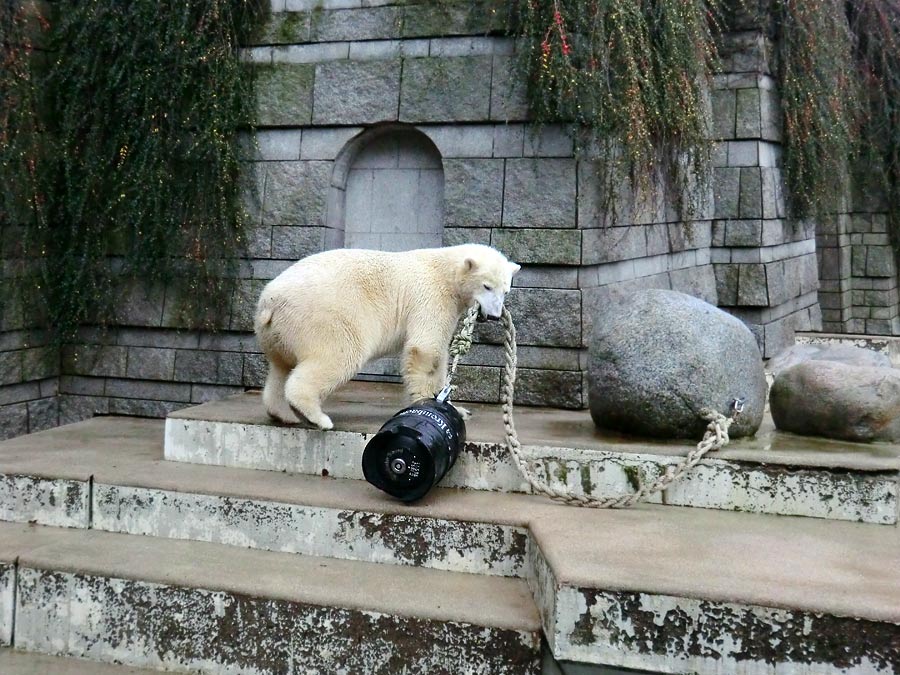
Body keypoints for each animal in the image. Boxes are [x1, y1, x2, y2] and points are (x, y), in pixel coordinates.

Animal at [253, 246, 520, 430]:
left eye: (506, 290)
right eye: (486, 286)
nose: (494, 316)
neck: (446, 269)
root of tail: (270, 300)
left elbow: (440, 352)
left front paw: (458, 409)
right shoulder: (432, 297)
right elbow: (426, 348)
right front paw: (428, 402)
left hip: (277, 331)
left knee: (281, 367)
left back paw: (283, 414)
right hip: (325, 316)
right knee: (339, 355)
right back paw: (317, 417)